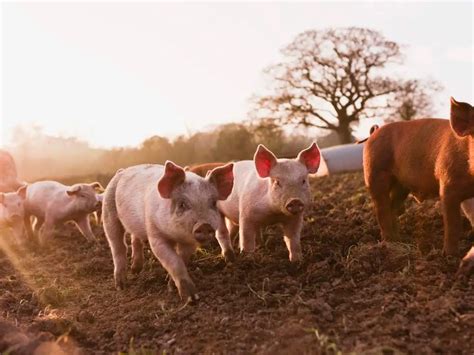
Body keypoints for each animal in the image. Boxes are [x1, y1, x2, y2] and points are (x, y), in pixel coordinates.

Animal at [362, 97, 474, 258]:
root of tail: (374, 133)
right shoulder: (447, 185)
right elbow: (453, 224)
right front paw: (449, 256)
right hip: (375, 174)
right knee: (381, 208)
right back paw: (390, 243)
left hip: (401, 186)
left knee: (392, 207)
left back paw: (400, 239)